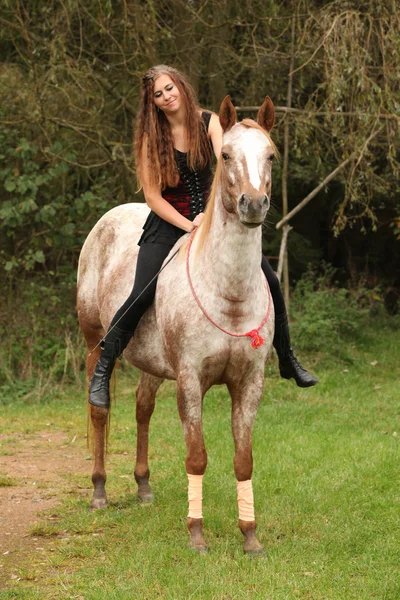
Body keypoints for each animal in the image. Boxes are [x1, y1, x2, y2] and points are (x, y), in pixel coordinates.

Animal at [77, 95, 278, 556]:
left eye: (271, 155)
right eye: (226, 156)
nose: (253, 204)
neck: (228, 295)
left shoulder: (249, 383)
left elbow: (244, 460)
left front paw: (250, 537)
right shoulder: (190, 380)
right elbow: (197, 456)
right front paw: (197, 535)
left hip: (151, 363)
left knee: (142, 408)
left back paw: (143, 487)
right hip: (95, 342)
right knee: (100, 410)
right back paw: (99, 491)